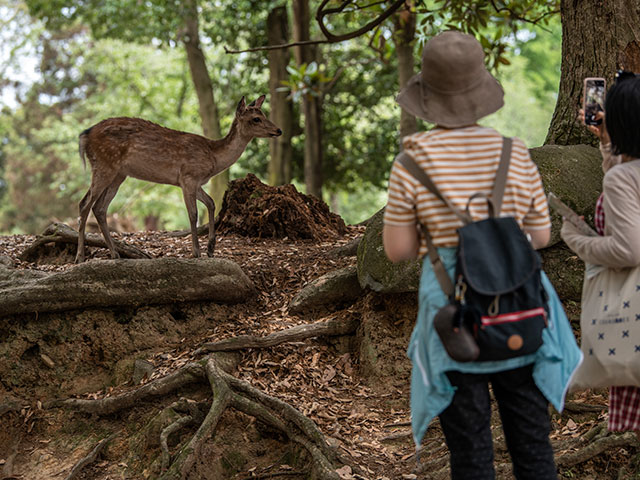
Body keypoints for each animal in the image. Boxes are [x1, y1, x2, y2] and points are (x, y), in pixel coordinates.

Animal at [76, 94, 282, 262]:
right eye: (256, 118)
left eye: (265, 114)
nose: (278, 130)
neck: (213, 158)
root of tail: (84, 135)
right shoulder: (188, 176)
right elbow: (193, 214)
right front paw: (196, 252)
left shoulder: (196, 182)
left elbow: (211, 203)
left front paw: (211, 248)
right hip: (104, 164)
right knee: (84, 204)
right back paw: (80, 256)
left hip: (119, 174)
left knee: (99, 207)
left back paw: (114, 253)